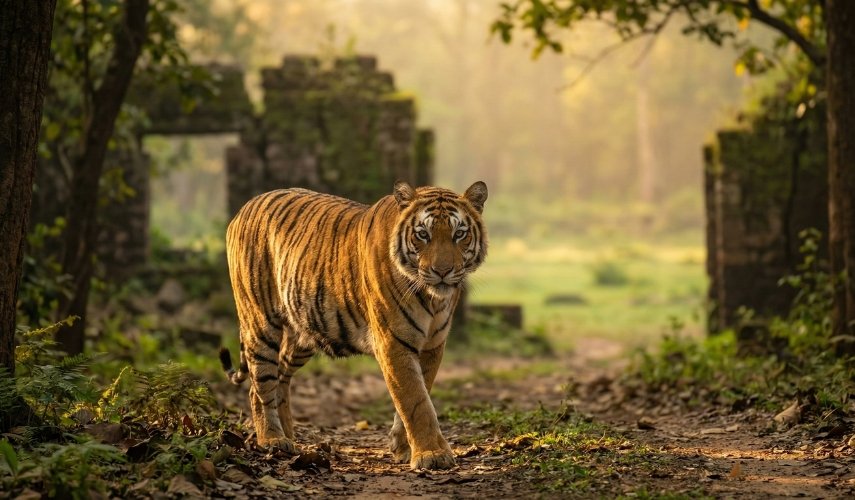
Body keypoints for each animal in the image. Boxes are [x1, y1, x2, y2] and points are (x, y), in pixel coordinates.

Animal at [219, 181, 488, 470]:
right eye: (422, 235)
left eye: (459, 234)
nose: (442, 271)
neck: (432, 298)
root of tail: (245, 207)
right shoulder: (393, 343)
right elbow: (416, 401)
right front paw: (431, 454)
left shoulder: (432, 345)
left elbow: (419, 393)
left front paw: (404, 448)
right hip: (260, 322)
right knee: (259, 387)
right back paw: (272, 440)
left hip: (302, 333)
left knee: (280, 376)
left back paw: (288, 435)